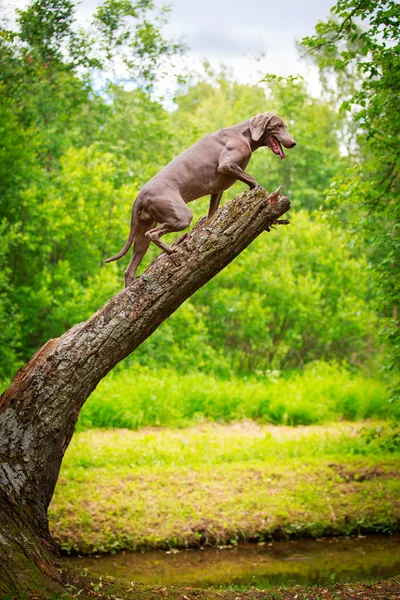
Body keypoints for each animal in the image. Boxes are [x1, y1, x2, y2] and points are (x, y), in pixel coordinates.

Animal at [106, 112, 296, 286]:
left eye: (285, 126)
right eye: (278, 125)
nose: (293, 143)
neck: (244, 134)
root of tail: (141, 195)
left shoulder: (217, 190)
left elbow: (211, 216)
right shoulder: (227, 165)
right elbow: (254, 181)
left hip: (142, 233)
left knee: (130, 269)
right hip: (180, 216)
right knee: (153, 235)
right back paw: (173, 252)